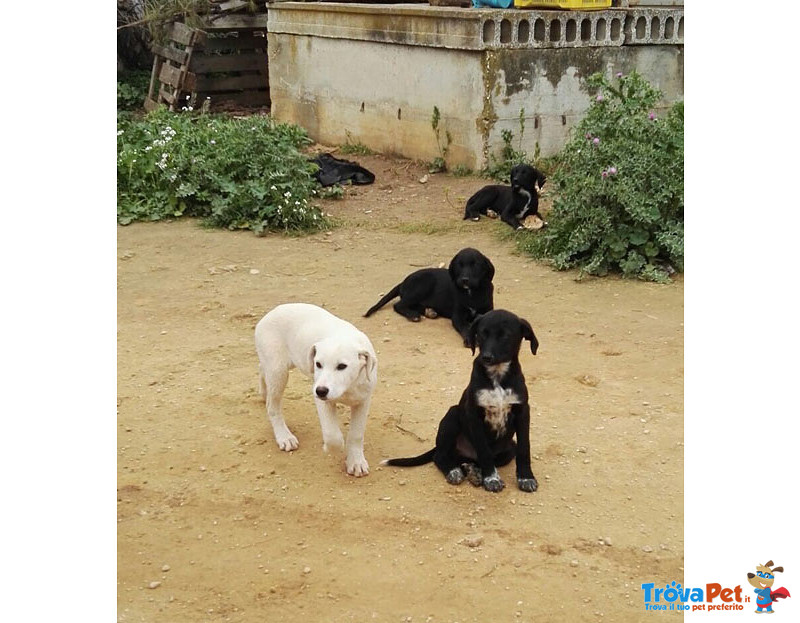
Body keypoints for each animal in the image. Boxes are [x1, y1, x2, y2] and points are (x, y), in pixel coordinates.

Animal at [256, 304, 382, 476]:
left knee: (262, 369)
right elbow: (332, 435)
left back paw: (264, 392)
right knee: (272, 406)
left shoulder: (363, 401)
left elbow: (356, 434)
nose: (321, 391)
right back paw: (284, 437)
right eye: (318, 364)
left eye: (342, 366)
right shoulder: (322, 400)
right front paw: (332, 448)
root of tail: (271, 312)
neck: (347, 386)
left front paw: (356, 462)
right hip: (278, 370)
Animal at [364, 247, 494, 344]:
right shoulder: (458, 315)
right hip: (423, 284)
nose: (464, 280)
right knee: (398, 305)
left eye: (475, 264)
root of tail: (403, 282)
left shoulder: (487, 309)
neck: (471, 292)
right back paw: (413, 315)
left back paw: (429, 312)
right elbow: (465, 327)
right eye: (459, 265)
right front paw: (470, 340)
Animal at [382, 310, 544, 494]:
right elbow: (484, 451)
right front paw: (492, 479)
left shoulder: (523, 412)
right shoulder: (474, 414)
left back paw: (473, 472)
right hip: (452, 416)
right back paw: (455, 471)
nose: (486, 357)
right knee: (440, 456)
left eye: (505, 336)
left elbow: (524, 448)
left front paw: (526, 478)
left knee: (474, 461)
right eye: (482, 333)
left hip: (508, 449)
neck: (497, 376)